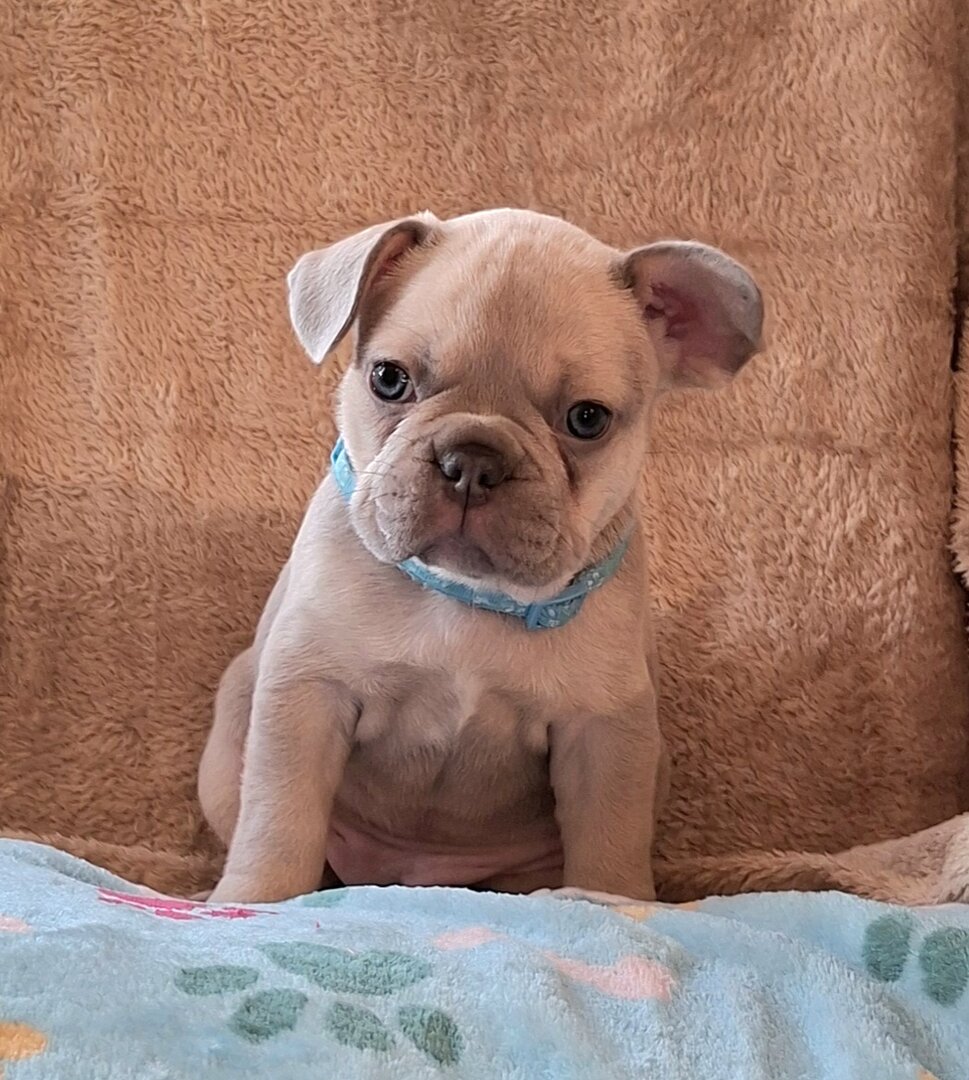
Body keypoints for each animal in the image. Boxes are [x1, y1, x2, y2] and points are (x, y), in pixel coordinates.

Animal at [198, 208, 763, 904]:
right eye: (389, 380)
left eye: (588, 419)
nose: (472, 459)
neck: (465, 593)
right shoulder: (307, 694)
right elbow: (280, 818)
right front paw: (252, 899)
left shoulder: (604, 733)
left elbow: (609, 845)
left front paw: (611, 903)